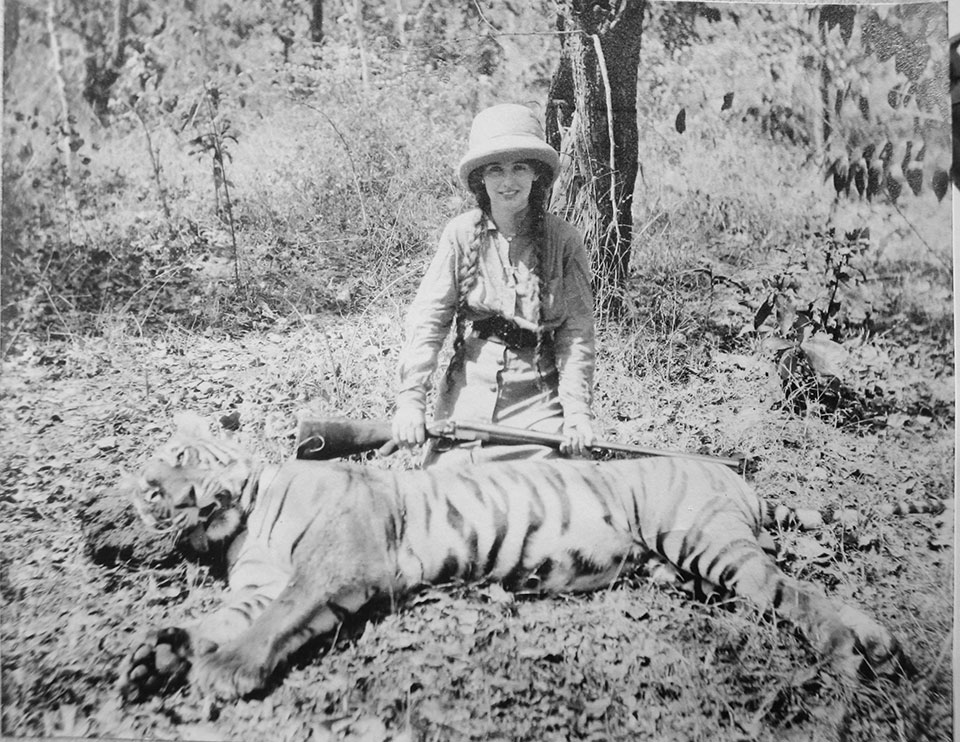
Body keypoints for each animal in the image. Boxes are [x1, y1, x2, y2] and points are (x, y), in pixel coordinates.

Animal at [118, 418, 916, 704]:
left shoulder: (337, 567)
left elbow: (276, 619)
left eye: (179, 459)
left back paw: (846, 654)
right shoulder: (253, 585)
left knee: (795, 594)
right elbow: (217, 617)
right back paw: (877, 645)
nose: (169, 498)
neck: (245, 523)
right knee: (794, 588)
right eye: (150, 490)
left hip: (708, 543)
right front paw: (158, 658)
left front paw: (223, 670)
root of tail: (732, 471)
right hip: (694, 565)